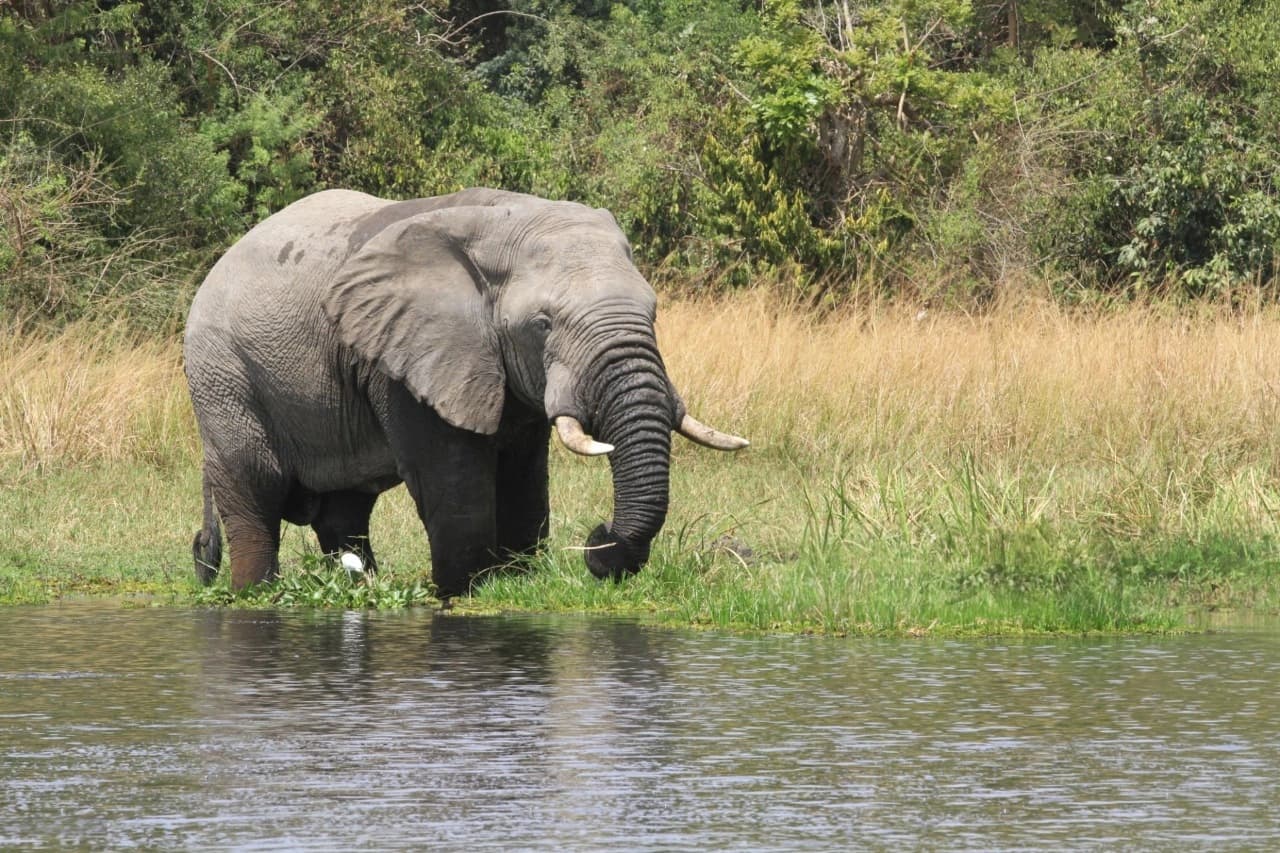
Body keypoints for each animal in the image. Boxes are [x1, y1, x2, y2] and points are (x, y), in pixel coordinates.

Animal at [184, 187, 748, 598]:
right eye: (542, 324)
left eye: (653, 311)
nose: (600, 537)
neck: (503, 220)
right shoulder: (405, 355)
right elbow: (454, 485)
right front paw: (464, 594)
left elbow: (523, 482)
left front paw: (517, 580)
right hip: (223, 374)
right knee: (255, 490)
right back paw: (253, 595)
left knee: (345, 512)